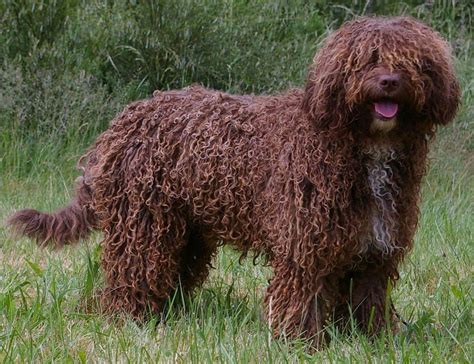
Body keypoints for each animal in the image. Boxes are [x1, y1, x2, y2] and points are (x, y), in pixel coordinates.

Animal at [7, 17, 460, 346]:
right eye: (367, 59)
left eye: (410, 61)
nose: (388, 81)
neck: (360, 144)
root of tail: (123, 122)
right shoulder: (305, 246)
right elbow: (304, 297)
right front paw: (302, 344)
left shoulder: (373, 249)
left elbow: (367, 300)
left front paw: (370, 341)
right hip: (144, 225)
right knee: (128, 278)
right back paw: (126, 320)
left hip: (184, 232)